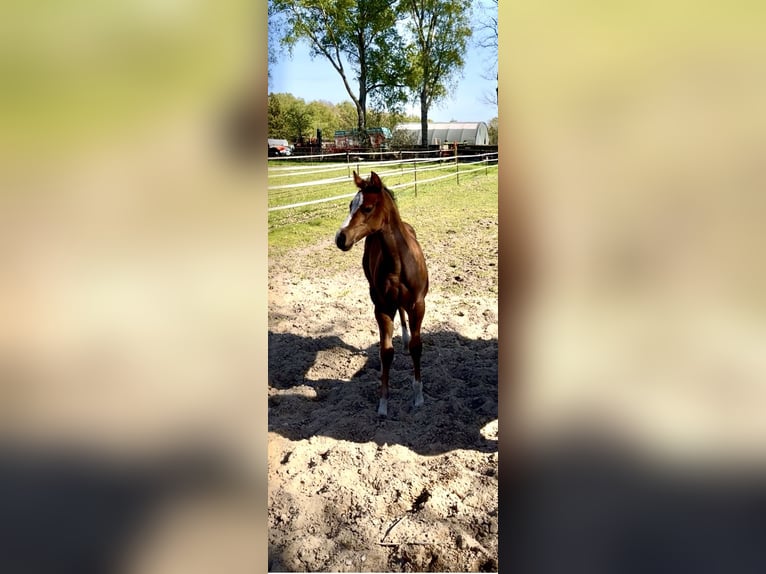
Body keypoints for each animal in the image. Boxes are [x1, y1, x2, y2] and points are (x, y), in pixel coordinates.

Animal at [335, 171, 429, 417]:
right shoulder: (383, 307)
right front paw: (383, 403)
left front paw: (418, 397)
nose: (340, 238)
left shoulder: (418, 304)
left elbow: (417, 347)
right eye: (350, 205)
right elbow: (386, 352)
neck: (399, 263)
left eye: (367, 207)